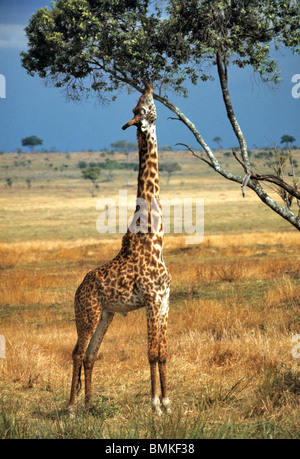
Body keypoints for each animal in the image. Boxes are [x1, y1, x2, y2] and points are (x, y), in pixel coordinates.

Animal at [68, 82, 171, 416]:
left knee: (91, 354)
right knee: (77, 352)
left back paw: (89, 404)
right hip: (87, 313)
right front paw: (155, 405)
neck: (156, 241)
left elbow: (163, 352)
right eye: (139, 107)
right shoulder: (151, 300)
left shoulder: (165, 302)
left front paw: (168, 402)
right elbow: (151, 352)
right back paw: (70, 408)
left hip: (106, 314)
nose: (149, 84)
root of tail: (78, 288)